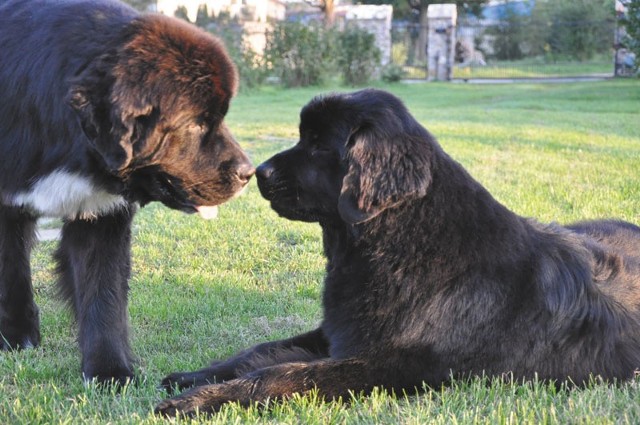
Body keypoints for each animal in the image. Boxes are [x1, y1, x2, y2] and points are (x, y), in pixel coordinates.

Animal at [0, 0, 255, 384]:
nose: (248, 172)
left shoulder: (101, 212)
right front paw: (16, 338)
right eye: (196, 124)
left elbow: (103, 293)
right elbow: (11, 274)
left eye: (220, 117)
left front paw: (109, 372)